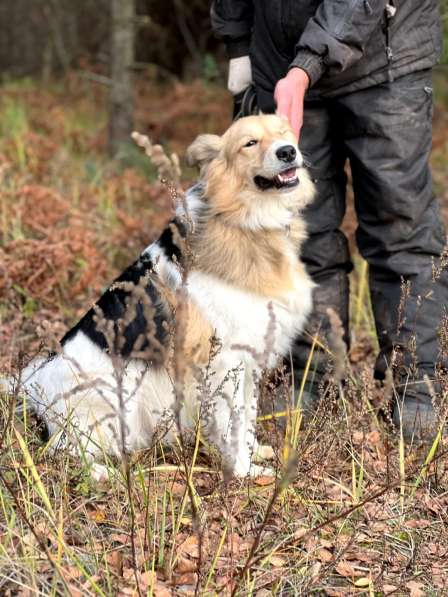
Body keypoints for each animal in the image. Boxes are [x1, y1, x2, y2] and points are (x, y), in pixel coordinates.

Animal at [14, 114, 316, 478]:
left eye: (284, 132)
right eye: (250, 143)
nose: (288, 151)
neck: (243, 220)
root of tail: (36, 387)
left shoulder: (251, 360)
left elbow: (247, 418)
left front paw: (253, 452)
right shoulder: (227, 361)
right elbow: (232, 422)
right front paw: (244, 472)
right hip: (115, 404)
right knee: (63, 449)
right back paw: (103, 473)